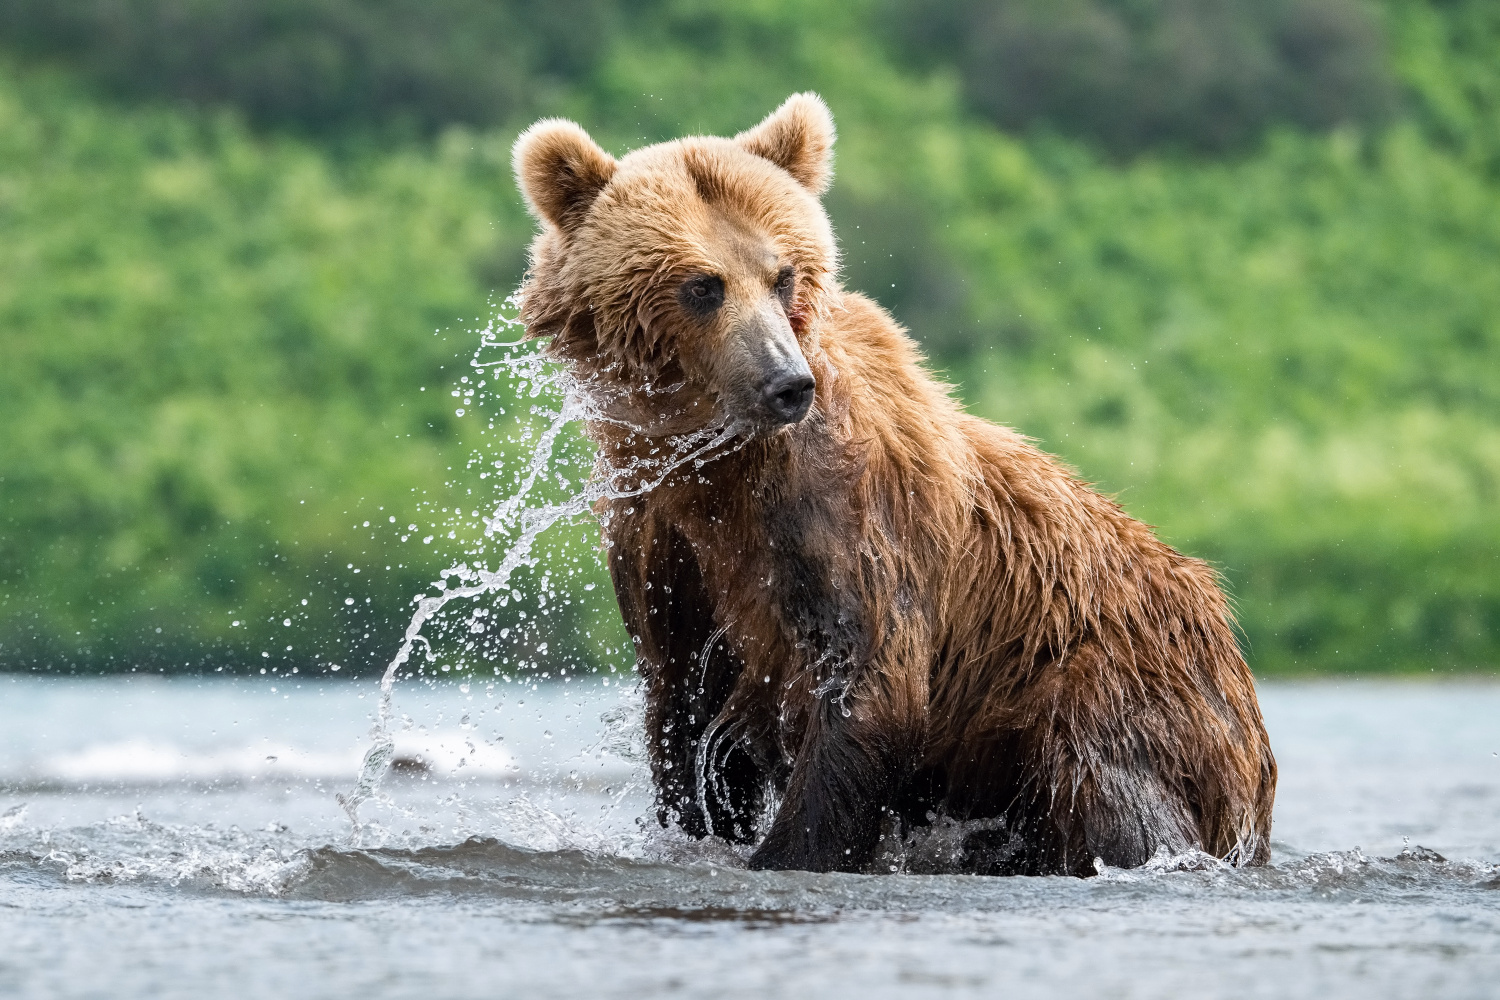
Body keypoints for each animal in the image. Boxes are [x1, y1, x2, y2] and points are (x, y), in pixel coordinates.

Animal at [513, 95, 1278, 875]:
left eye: (784, 274)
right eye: (703, 285)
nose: (786, 383)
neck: (718, 467)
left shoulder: (842, 514)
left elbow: (867, 684)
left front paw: (785, 850)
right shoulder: (662, 540)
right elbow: (684, 715)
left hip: (1103, 680)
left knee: (1110, 793)